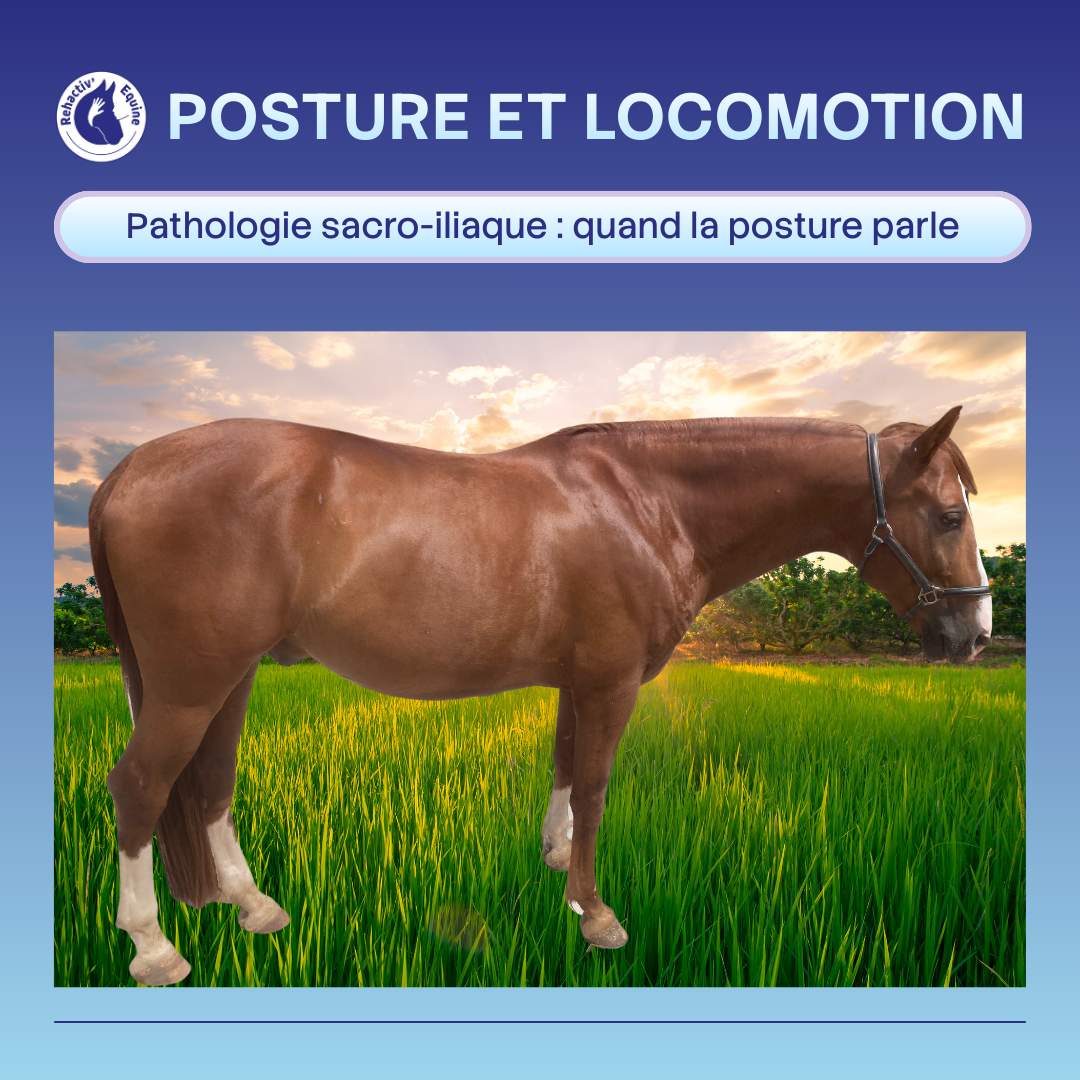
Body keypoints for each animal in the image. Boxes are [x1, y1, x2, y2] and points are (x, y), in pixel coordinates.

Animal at [87, 405, 991, 985]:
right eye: (948, 516)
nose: (978, 634)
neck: (647, 503)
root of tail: (126, 469)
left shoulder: (576, 679)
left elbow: (563, 771)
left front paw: (557, 862)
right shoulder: (610, 681)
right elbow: (594, 786)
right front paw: (595, 915)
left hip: (228, 675)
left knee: (209, 782)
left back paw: (253, 907)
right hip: (190, 684)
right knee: (140, 786)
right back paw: (154, 950)